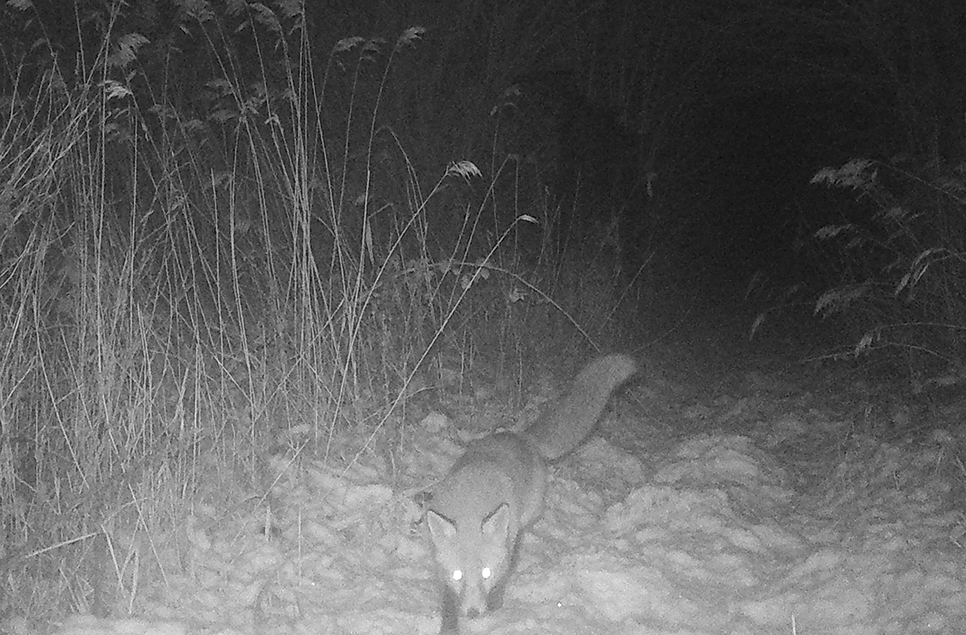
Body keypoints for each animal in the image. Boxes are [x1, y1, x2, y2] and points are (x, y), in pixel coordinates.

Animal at [426, 356, 640, 632]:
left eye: (486, 573)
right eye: (458, 575)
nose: (473, 614)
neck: (471, 501)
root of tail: (522, 436)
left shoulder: (504, 551)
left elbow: (502, 578)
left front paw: (494, 609)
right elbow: (449, 601)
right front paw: (449, 626)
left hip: (521, 521)